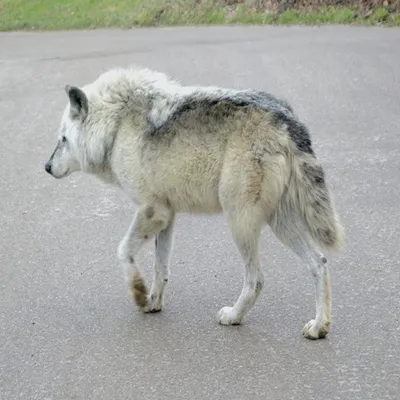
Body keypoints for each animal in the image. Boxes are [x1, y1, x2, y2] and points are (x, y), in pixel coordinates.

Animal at [44, 67, 344, 340]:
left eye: (62, 140)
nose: (46, 167)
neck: (116, 124)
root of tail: (287, 119)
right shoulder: (166, 215)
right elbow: (161, 268)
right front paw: (153, 302)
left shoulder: (152, 210)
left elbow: (123, 252)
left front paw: (139, 293)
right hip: (279, 223)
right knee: (319, 262)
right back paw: (319, 327)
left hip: (240, 222)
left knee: (256, 279)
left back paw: (233, 316)